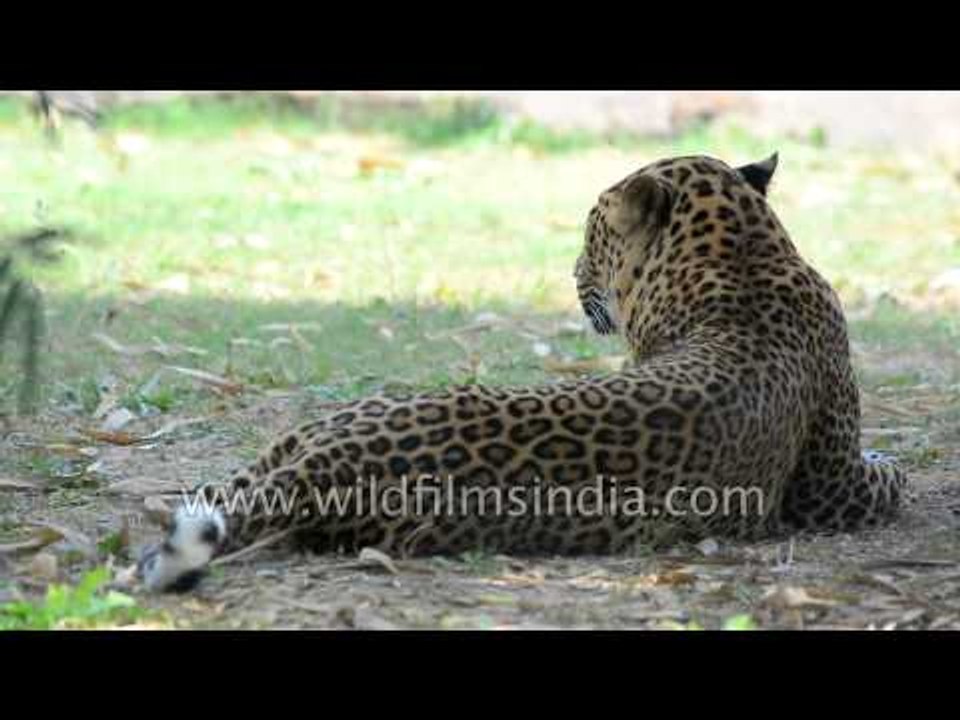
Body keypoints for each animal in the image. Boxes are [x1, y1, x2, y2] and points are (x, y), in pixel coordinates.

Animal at [139, 153, 908, 593]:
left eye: (591, 230)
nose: (568, 271)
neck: (741, 254)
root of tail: (318, 466)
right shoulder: (831, 488)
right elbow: (893, 476)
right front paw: (892, 457)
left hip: (283, 447)